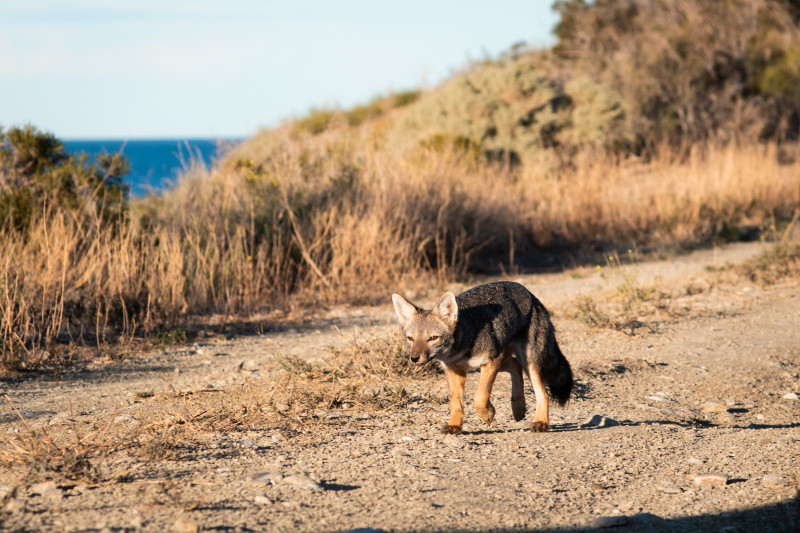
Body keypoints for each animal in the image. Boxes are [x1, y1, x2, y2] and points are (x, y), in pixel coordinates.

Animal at [392, 281, 573, 434]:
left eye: (432, 338)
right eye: (410, 339)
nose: (414, 358)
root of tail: (529, 293)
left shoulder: (491, 361)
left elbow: (480, 396)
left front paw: (488, 414)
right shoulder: (453, 369)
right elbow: (455, 402)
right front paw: (454, 425)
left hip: (529, 362)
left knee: (543, 393)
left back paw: (541, 422)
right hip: (508, 359)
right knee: (515, 365)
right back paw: (518, 407)